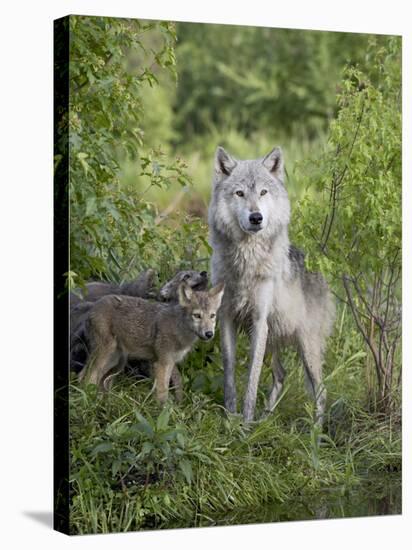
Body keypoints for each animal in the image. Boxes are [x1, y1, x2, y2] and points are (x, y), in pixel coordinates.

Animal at [79, 282, 224, 404]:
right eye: (197, 316)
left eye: (212, 316)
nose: (209, 334)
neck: (180, 330)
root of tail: (93, 306)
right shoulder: (162, 363)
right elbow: (162, 393)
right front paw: (162, 413)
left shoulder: (169, 363)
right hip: (106, 355)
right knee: (88, 378)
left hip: (113, 360)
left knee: (86, 376)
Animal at [209, 147, 334, 426]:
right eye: (240, 193)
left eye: (263, 192)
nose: (256, 217)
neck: (246, 262)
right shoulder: (226, 317)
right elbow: (230, 371)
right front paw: (230, 417)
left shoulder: (259, 321)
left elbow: (252, 380)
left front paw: (245, 424)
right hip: (273, 339)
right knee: (281, 375)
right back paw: (265, 420)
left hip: (306, 347)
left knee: (321, 391)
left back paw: (315, 434)